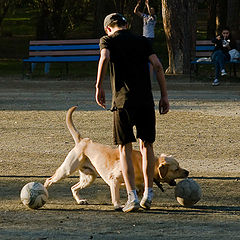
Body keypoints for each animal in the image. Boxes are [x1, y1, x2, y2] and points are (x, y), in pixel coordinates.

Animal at [44, 107, 188, 210]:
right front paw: (119, 205)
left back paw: (80, 200)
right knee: (49, 180)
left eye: (179, 166)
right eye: (176, 169)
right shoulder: (114, 180)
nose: (187, 172)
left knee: (74, 187)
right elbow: (116, 196)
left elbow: (138, 190)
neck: (141, 164)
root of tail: (83, 140)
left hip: (89, 178)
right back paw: (44, 192)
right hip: (66, 170)